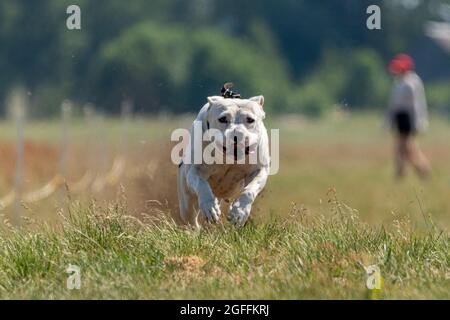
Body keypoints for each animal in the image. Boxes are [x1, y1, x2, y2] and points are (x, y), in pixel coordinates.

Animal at [178, 92, 270, 228]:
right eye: (222, 119)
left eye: (250, 119)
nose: (236, 134)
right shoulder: (195, 171)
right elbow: (202, 185)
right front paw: (209, 207)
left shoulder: (259, 170)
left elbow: (249, 191)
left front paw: (239, 212)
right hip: (186, 201)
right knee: (190, 219)